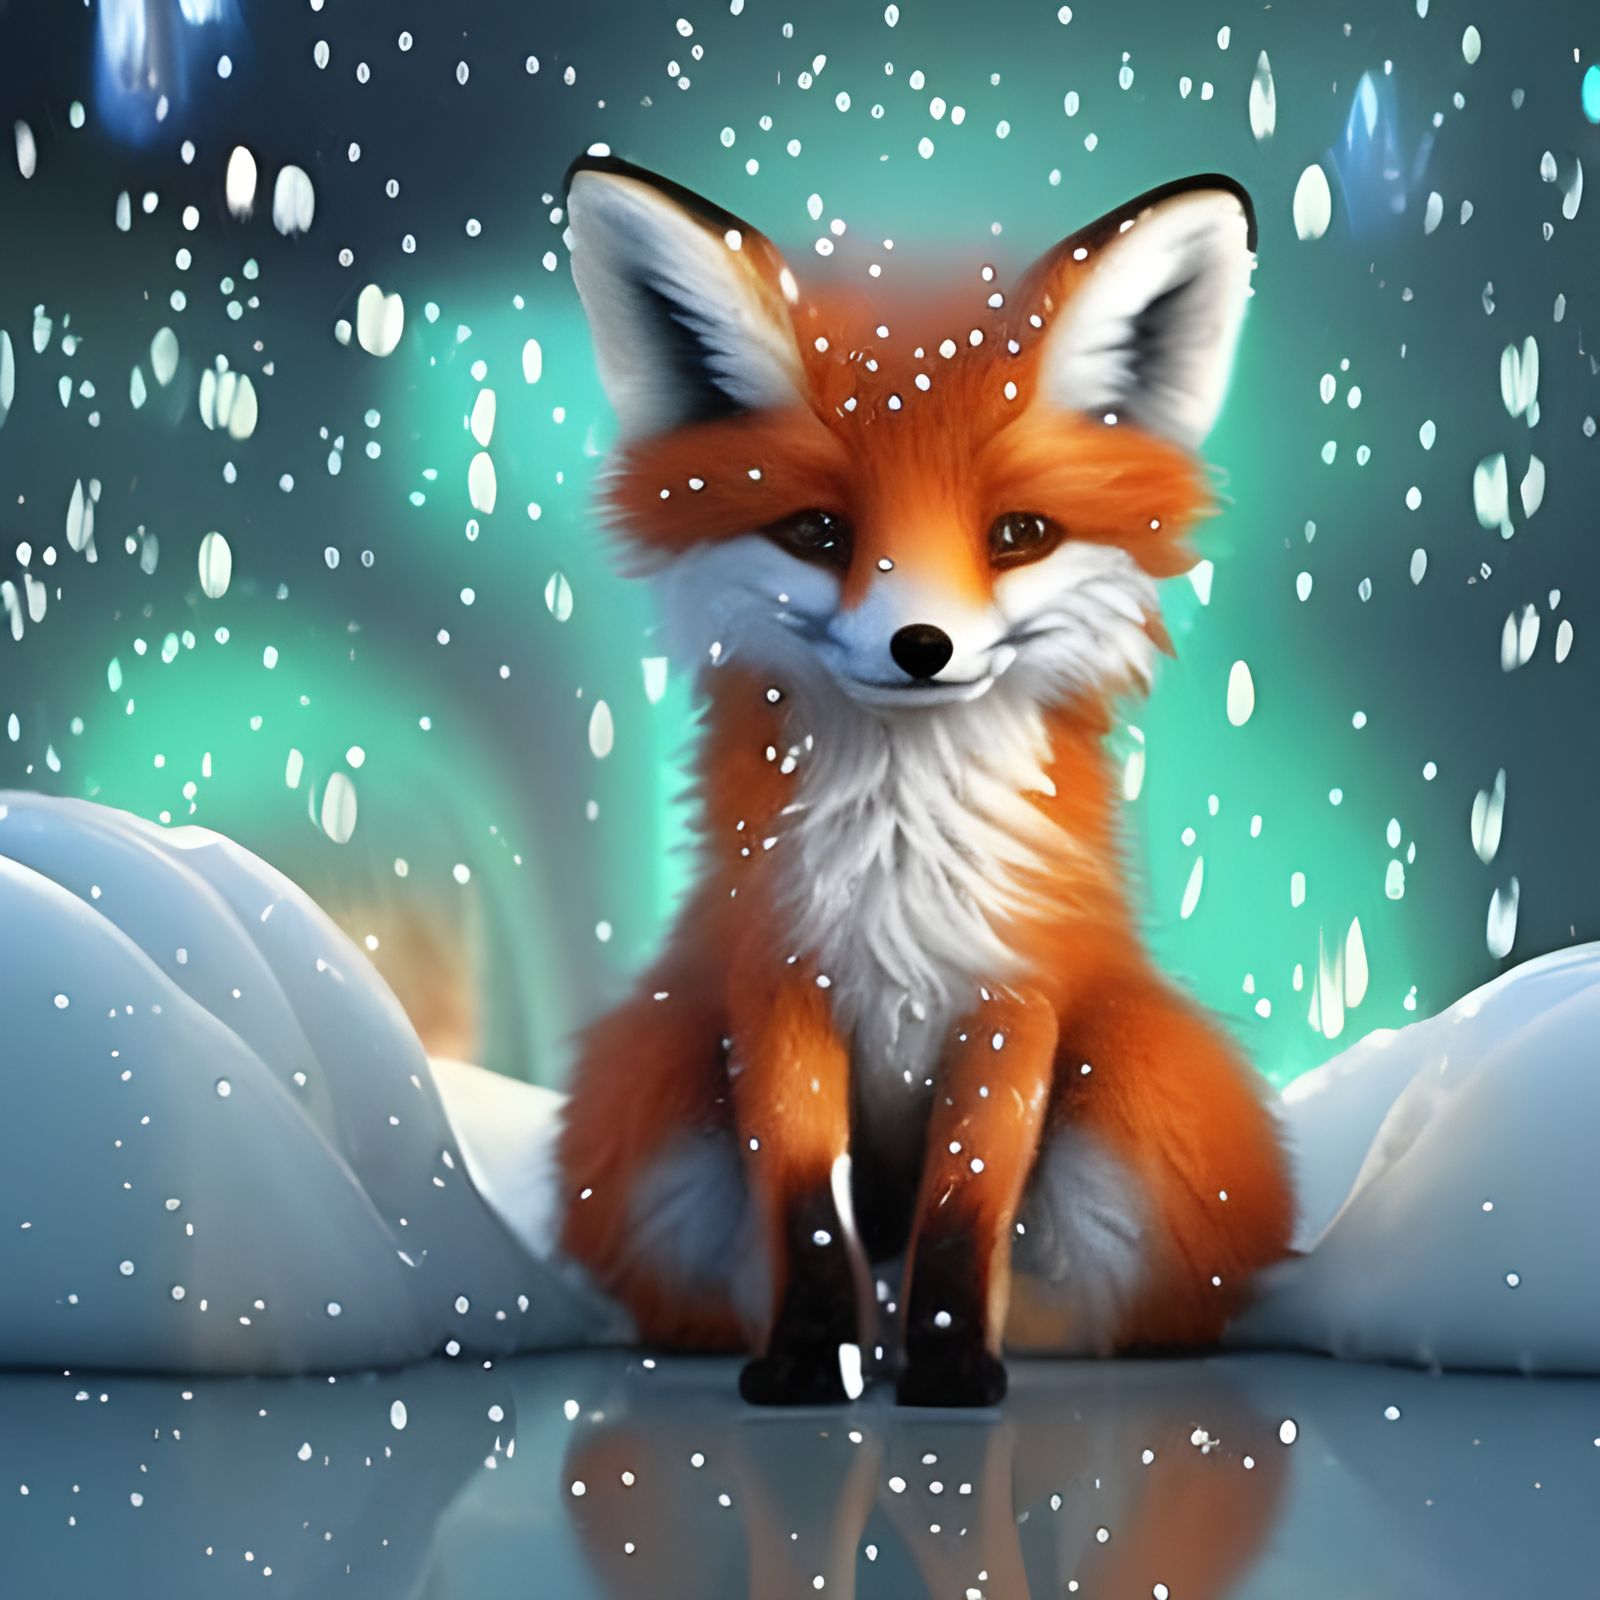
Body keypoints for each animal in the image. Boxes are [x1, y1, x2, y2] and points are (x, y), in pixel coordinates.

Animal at [556, 154, 1294, 1408]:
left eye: (1017, 533)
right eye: (816, 531)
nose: (921, 647)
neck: (900, 852)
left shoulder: (1012, 997)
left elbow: (962, 1206)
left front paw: (951, 1369)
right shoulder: (776, 983)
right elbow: (804, 1207)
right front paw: (809, 1361)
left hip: (1140, 1100)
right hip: (652, 1102)